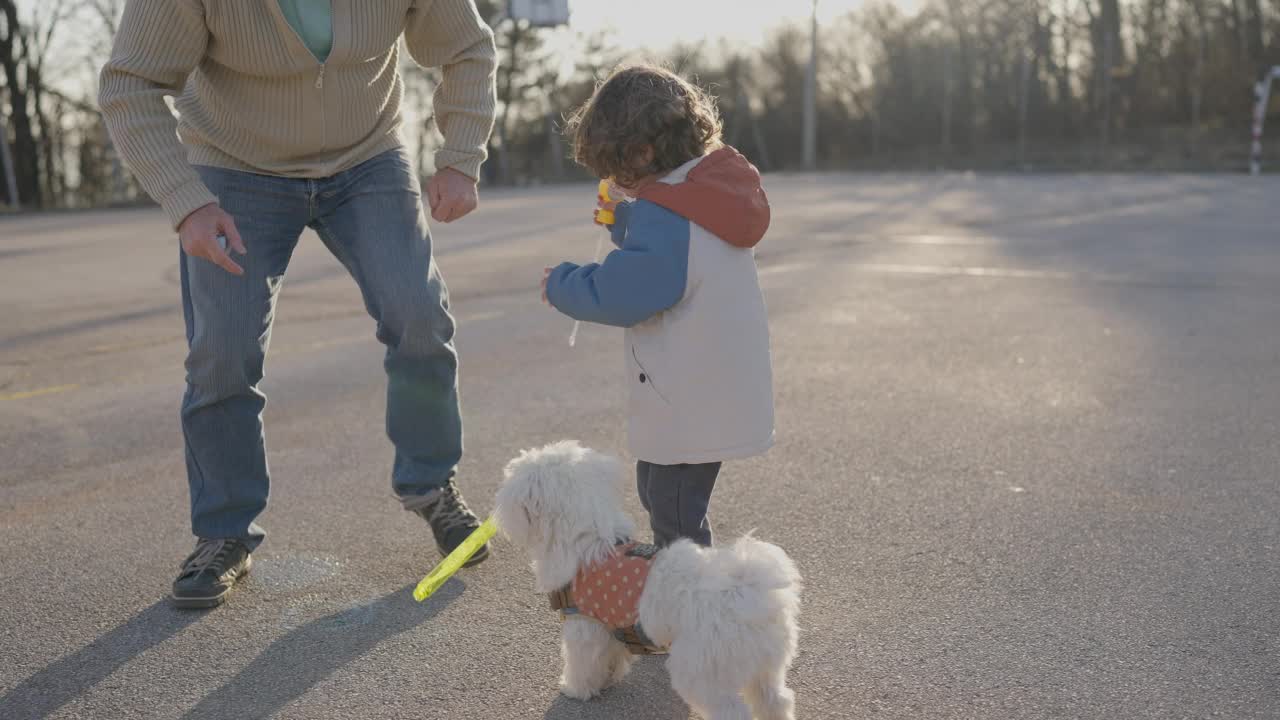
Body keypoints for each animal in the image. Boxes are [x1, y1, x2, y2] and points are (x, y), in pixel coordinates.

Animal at [491, 438, 798, 717]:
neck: (592, 539)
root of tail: (749, 592)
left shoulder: (584, 624)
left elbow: (581, 663)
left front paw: (575, 689)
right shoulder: (609, 626)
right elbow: (613, 652)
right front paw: (610, 675)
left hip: (703, 671)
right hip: (766, 667)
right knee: (777, 700)